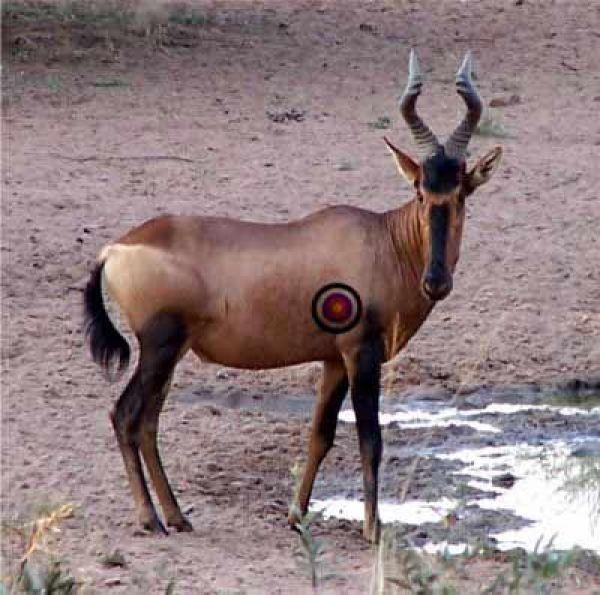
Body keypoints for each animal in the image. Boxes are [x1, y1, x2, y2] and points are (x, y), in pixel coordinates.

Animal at [83, 51, 502, 544]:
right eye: (420, 191)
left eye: (461, 193)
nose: (436, 281)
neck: (382, 239)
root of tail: (115, 249)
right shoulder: (360, 353)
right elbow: (370, 439)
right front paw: (372, 529)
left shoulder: (334, 359)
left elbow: (320, 434)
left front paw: (296, 515)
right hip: (159, 346)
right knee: (126, 415)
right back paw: (150, 518)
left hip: (170, 353)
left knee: (148, 422)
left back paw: (177, 516)